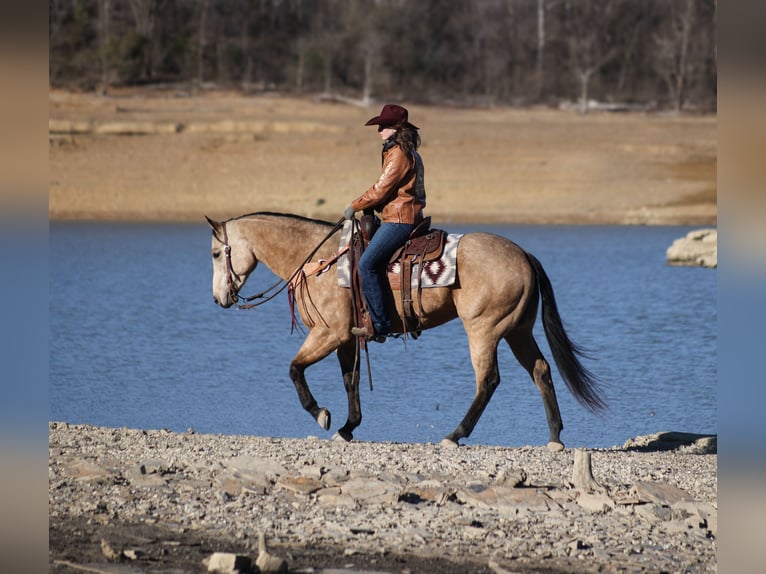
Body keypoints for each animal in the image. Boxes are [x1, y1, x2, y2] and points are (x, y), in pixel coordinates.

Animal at [206, 212, 605, 450]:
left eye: (214, 253)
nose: (219, 298)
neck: (318, 260)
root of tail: (524, 254)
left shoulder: (328, 333)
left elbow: (294, 369)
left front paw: (322, 415)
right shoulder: (347, 338)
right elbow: (350, 380)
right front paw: (348, 427)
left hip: (484, 330)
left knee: (488, 380)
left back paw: (454, 435)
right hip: (517, 331)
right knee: (541, 370)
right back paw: (554, 437)